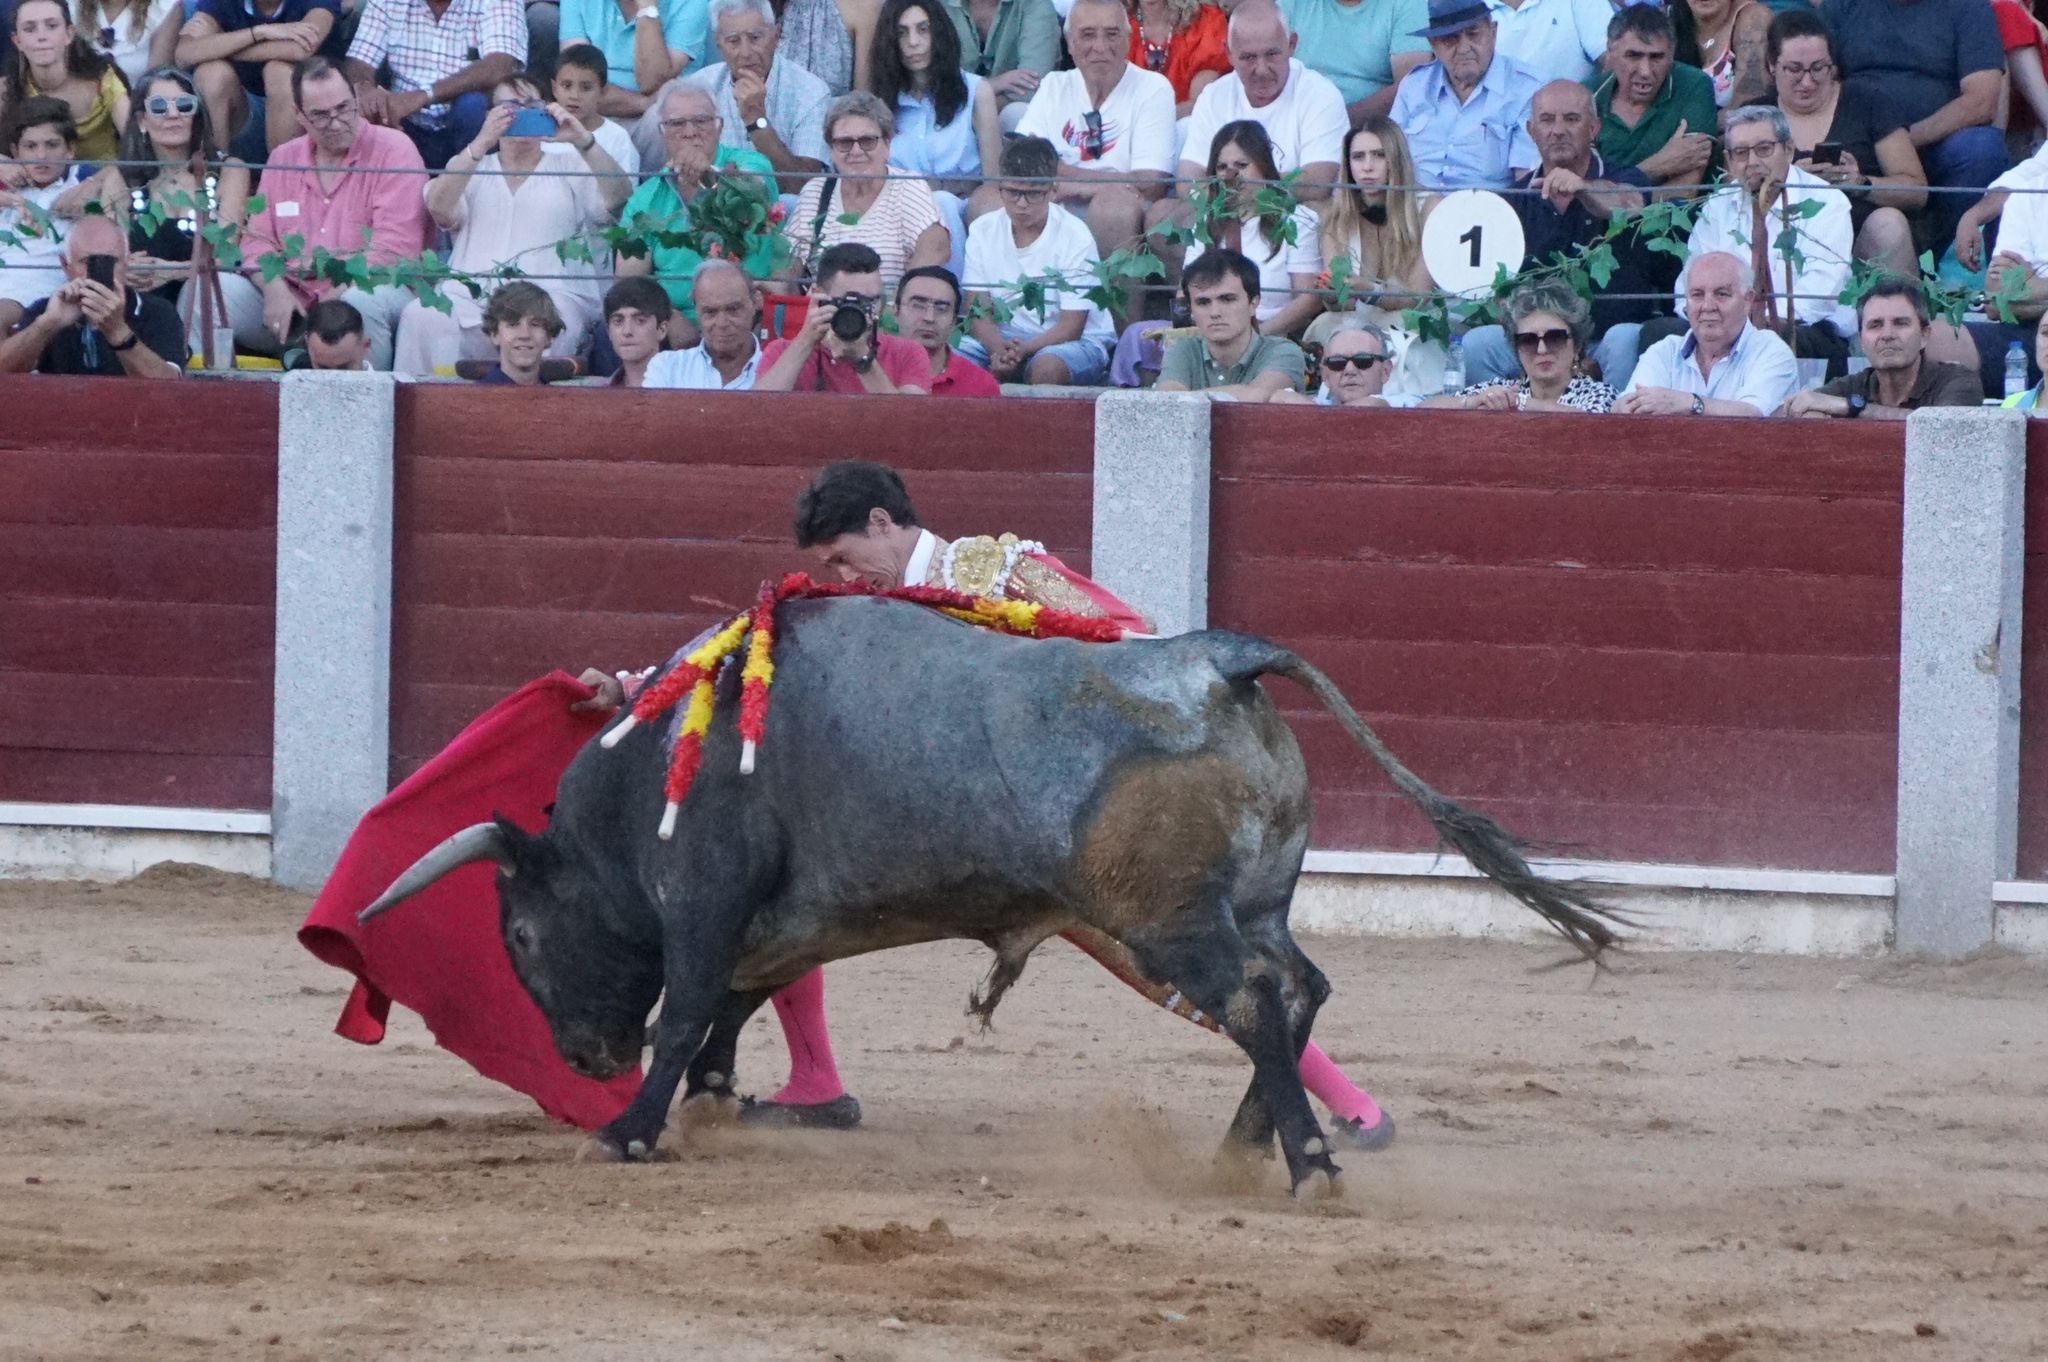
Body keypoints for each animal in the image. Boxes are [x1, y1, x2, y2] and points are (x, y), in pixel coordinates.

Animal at [360, 602, 1622, 1196]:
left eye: (521, 932)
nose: (579, 1057)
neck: (646, 783)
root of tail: (1216, 660)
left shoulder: (706, 899)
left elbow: (684, 1012)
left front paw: (629, 1129)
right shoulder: (773, 921)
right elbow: (731, 1006)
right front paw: (719, 1106)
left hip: (1165, 923)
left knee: (1252, 1003)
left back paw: (1306, 1164)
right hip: (1248, 903)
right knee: (1296, 991)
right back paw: (1243, 1149)